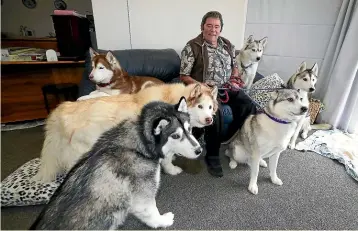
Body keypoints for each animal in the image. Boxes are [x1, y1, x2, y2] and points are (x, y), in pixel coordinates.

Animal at [29, 97, 203, 229]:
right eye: (175, 136)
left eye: (189, 129)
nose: (199, 150)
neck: (140, 142)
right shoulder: (143, 196)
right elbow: (151, 212)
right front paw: (162, 221)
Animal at [34, 82, 218, 182]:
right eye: (200, 106)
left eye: (210, 107)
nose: (209, 119)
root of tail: (61, 108)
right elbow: (167, 159)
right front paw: (172, 170)